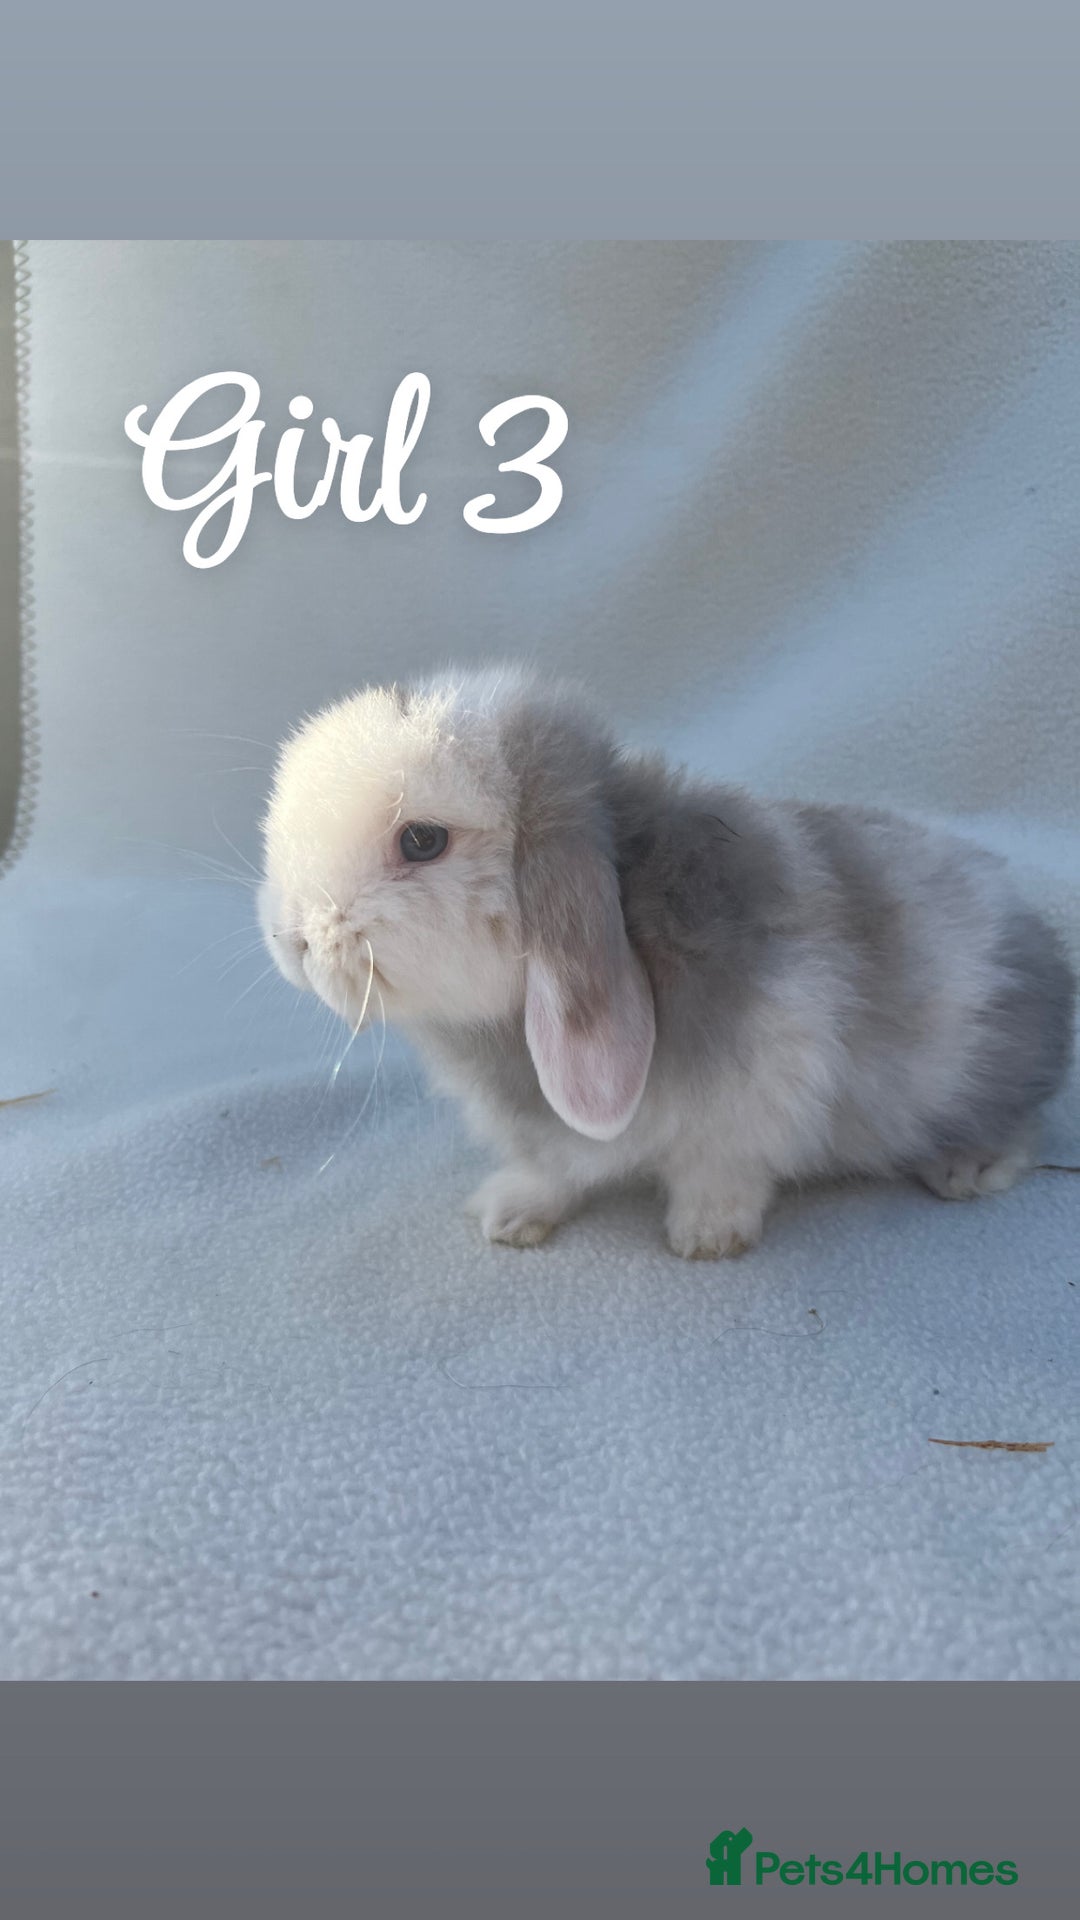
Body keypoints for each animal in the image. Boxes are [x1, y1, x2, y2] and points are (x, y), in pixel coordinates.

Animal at [258, 662, 1075, 1258]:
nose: (290, 937)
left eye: (422, 841)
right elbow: (551, 1171)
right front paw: (508, 1216)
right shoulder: (547, 1135)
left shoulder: (758, 1094)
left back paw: (967, 1168)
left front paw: (706, 1237)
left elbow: (720, 1169)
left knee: (1025, 1123)